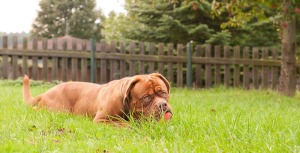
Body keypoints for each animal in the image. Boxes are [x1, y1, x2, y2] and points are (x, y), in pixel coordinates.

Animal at [22, 72, 173, 123]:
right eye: (146, 97)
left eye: (164, 93)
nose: (163, 105)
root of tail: (46, 92)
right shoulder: (102, 120)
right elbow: (124, 123)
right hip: (56, 110)